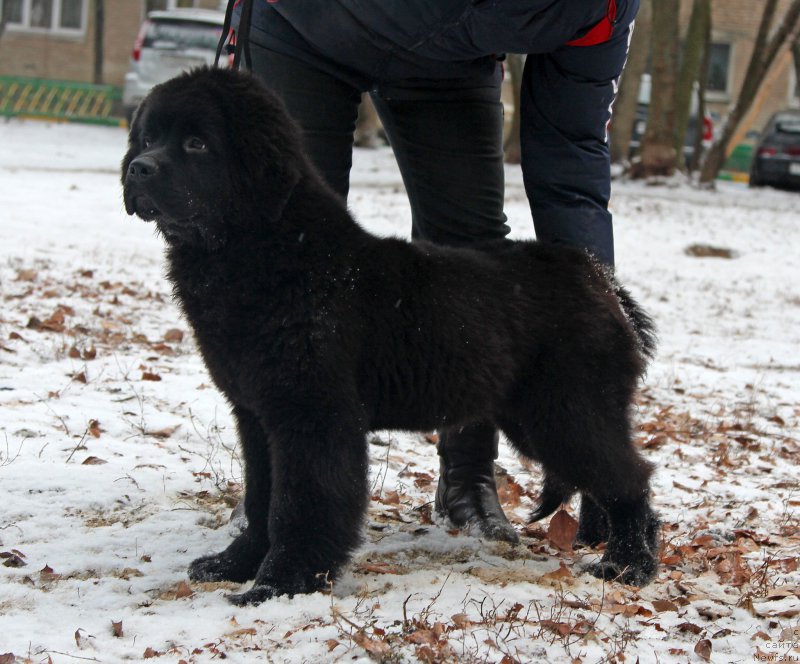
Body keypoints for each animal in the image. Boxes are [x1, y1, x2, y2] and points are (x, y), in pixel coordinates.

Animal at [123, 68, 656, 608]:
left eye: (196, 143)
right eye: (147, 139)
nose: (138, 170)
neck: (271, 252)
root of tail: (600, 279)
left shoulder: (313, 415)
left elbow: (300, 503)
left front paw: (280, 584)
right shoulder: (257, 415)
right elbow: (261, 497)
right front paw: (235, 565)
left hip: (566, 412)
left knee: (631, 479)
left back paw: (627, 566)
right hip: (539, 415)